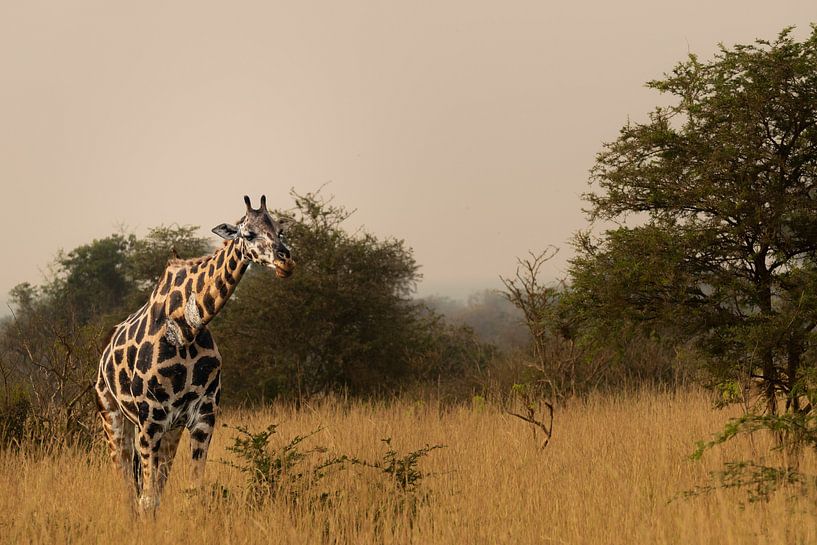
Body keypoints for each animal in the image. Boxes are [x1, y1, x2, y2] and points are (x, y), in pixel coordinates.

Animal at [94, 195, 294, 512]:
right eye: (248, 234)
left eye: (280, 231)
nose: (285, 260)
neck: (185, 327)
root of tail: (102, 359)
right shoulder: (149, 421)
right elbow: (146, 499)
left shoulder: (203, 415)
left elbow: (192, 492)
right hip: (113, 417)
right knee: (128, 490)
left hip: (169, 430)